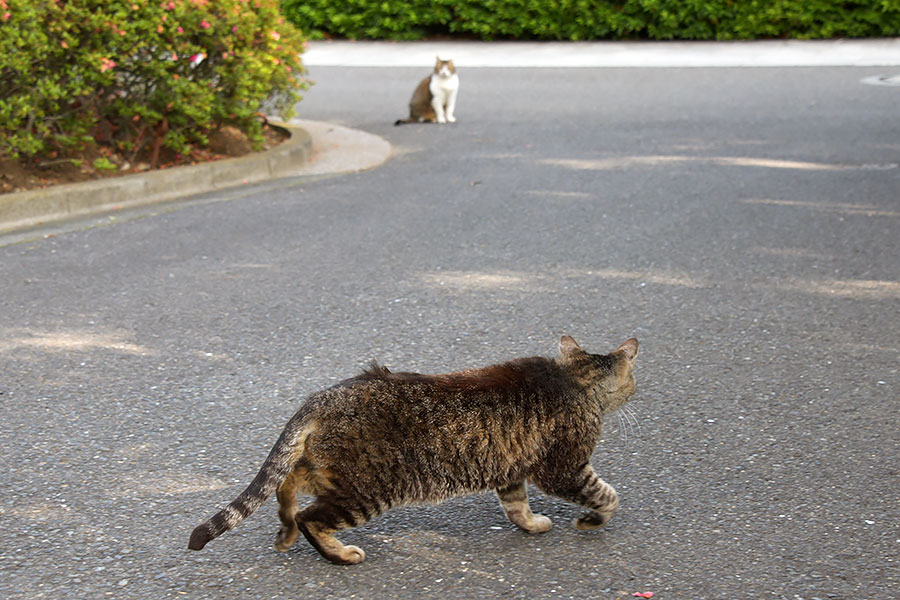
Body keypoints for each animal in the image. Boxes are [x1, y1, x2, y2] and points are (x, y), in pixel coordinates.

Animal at [188, 336, 640, 564]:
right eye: (633, 380)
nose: (637, 391)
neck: (573, 378)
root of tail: (322, 397)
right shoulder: (564, 468)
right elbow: (607, 495)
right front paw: (592, 520)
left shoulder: (510, 470)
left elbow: (516, 507)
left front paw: (531, 525)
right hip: (366, 490)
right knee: (310, 515)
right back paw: (340, 554)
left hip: (330, 472)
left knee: (288, 481)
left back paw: (284, 532)